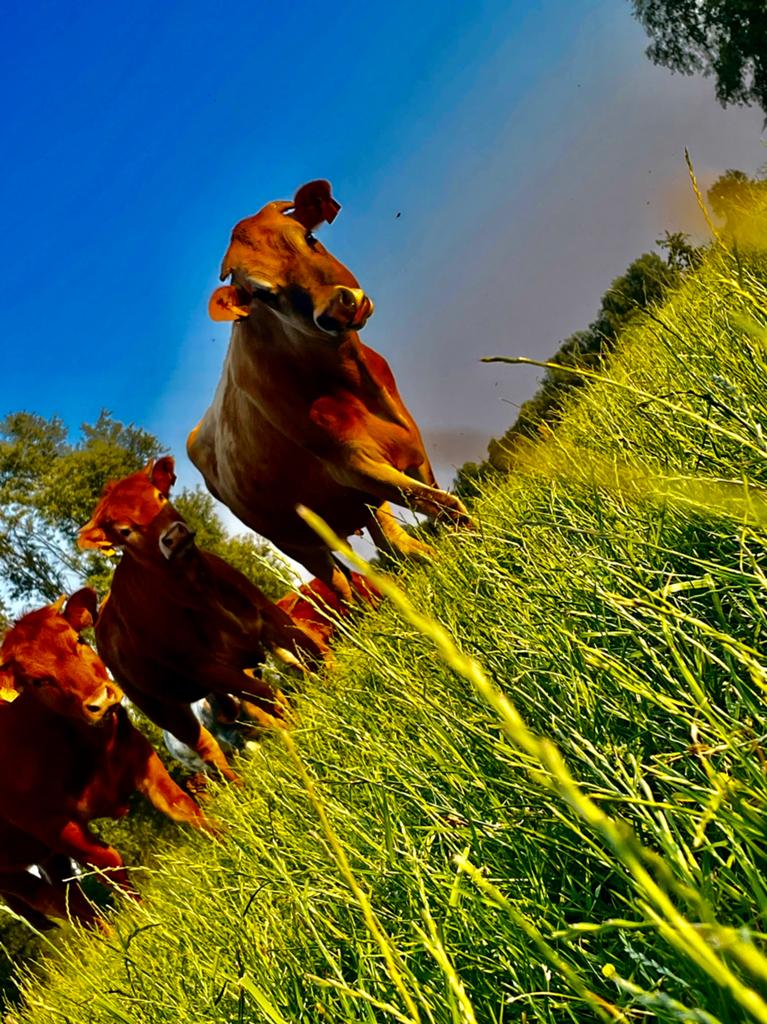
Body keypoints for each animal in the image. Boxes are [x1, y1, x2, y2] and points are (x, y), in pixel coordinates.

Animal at [0, 589, 213, 929]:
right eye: (37, 681)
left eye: (77, 640)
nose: (100, 700)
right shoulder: (54, 826)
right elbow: (110, 863)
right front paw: (144, 915)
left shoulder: (140, 758)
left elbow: (181, 806)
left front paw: (226, 837)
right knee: (51, 900)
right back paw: (107, 934)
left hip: (45, 855)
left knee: (66, 894)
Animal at [78, 457, 325, 781]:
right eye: (125, 530)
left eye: (160, 497)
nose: (174, 536)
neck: (200, 593)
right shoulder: (206, 668)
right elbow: (266, 696)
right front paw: (301, 732)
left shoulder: (267, 615)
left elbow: (308, 651)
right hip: (164, 709)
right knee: (209, 748)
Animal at [187, 179, 473, 602]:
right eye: (264, 294)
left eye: (308, 238)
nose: (338, 308)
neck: (354, 381)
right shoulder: (353, 465)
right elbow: (445, 504)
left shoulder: (410, 441)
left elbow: (441, 501)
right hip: (297, 541)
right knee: (340, 586)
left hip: (361, 507)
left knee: (393, 543)